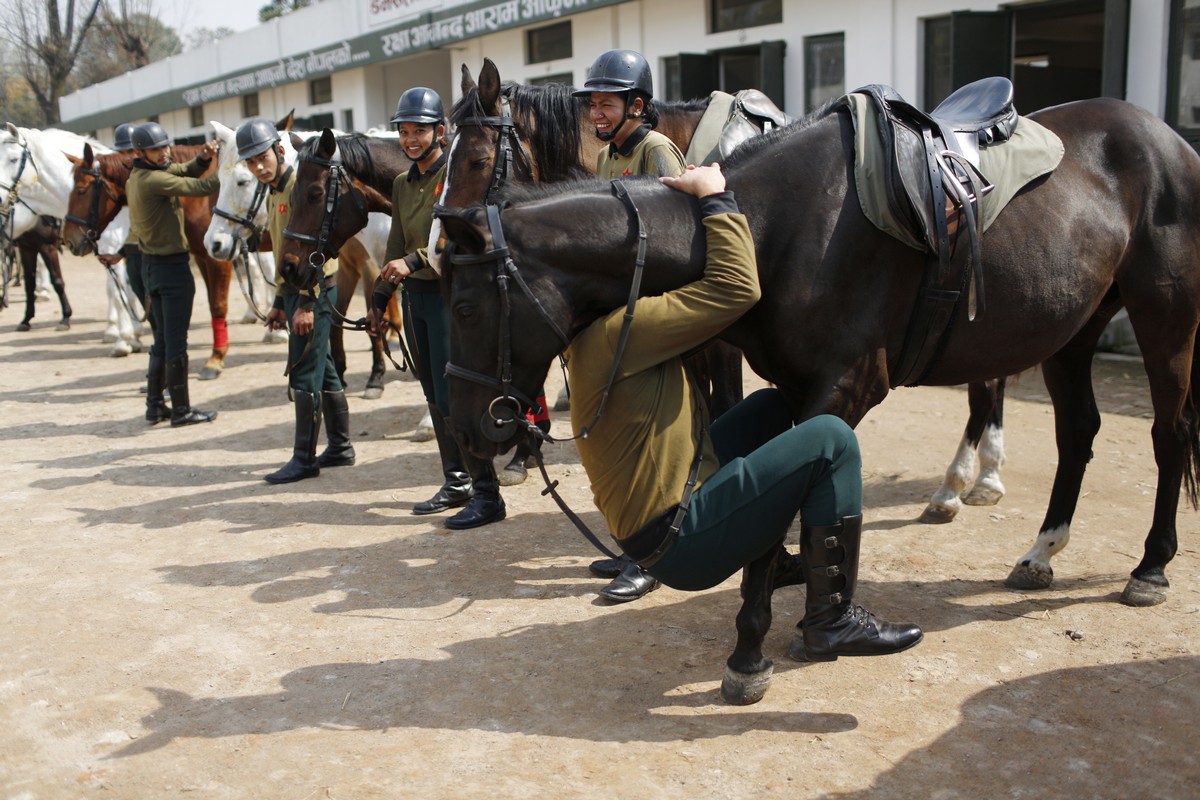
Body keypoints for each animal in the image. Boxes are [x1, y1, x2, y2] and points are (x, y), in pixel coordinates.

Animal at [446, 56, 1008, 520]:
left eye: (477, 160)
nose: (439, 242)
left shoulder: (718, 340)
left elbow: (724, 406)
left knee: (989, 382)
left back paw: (969, 482)